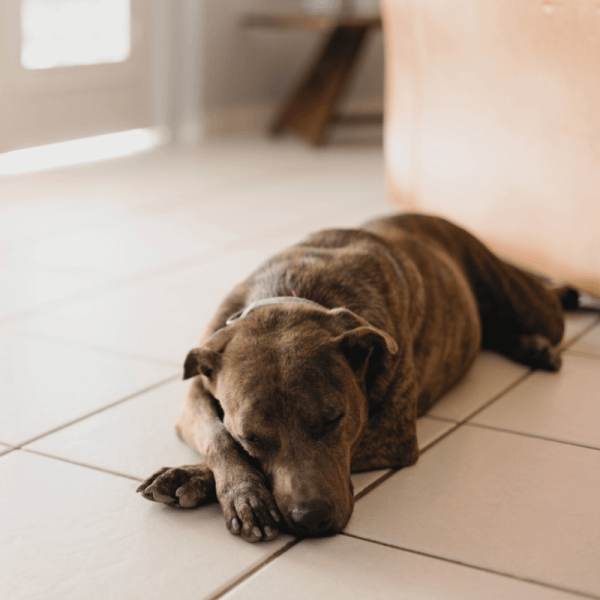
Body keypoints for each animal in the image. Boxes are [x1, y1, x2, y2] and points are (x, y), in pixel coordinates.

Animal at [137, 212, 576, 544]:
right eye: (252, 438)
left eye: (334, 419)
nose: (311, 519)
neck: (293, 292)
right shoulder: (197, 389)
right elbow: (219, 437)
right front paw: (226, 486)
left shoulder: (391, 433)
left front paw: (197, 477)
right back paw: (530, 346)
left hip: (527, 301)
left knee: (553, 299)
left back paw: (560, 310)